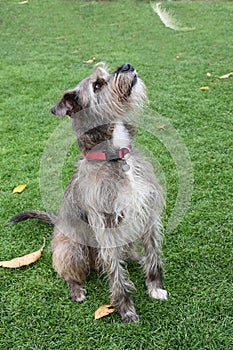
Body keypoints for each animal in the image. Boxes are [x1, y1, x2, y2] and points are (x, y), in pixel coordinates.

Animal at [9, 63, 167, 322]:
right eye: (97, 85)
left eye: (105, 74)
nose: (127, 66)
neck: (117, 157)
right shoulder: (105, 225)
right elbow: (116, 274)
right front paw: (126, 309)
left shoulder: (148, 213)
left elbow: (153, 254)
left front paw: (155, 287)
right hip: (73, 249)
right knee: (69, 273)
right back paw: (77, 289)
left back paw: (136, 257)